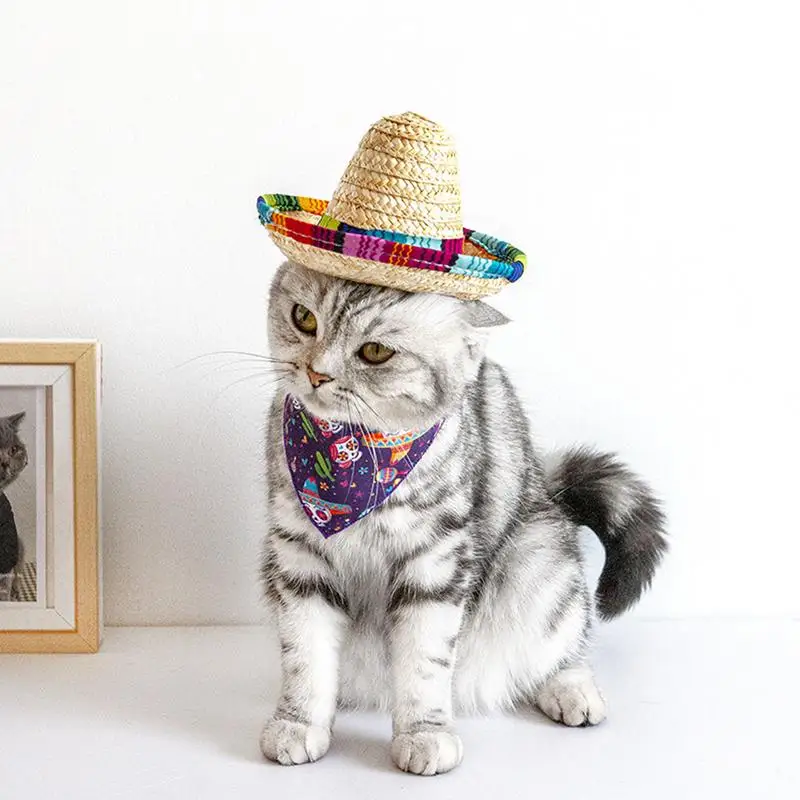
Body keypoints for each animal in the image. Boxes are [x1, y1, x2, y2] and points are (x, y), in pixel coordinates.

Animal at [260, 262, 664, 776]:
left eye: (375, 352)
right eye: (304, 319)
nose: (316, 372)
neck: (354, 457)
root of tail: (546, 485)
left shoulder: (436, 561)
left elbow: (423, 662)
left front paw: (424, 734)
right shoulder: (298, 558)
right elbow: (305, 655)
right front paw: (297, 723)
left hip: (539, 562)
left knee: (567, 643)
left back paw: (572, 691)